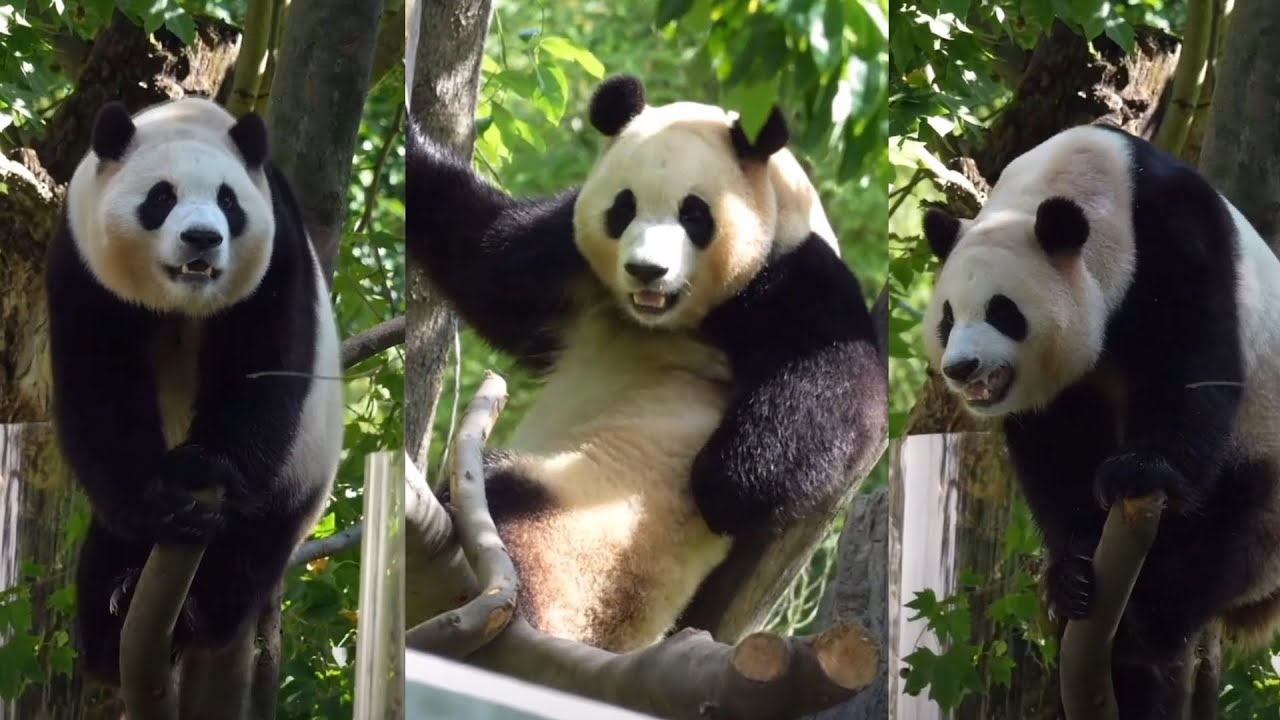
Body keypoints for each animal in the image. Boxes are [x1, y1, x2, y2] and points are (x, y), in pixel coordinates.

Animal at [45, 97, 344, 685]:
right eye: (161, 197)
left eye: (229, 202)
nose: (203, 238)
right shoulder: (81, 265)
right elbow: (101, 391)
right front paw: (165, 497)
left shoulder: (277, 250)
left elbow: (263, 368)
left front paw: (205, 465)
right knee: (105, 551)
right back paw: (111, 624)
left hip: (300, 475)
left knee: (247, 553)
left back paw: (196, 614)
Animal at [407, 74, 886, 651]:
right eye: (624, 207)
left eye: (694, 214)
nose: (646, 270)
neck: (662, 319)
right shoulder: (566, 259)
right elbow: (480, 254)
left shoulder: (796, 278)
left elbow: (841, 387)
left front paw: (728, 477)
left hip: (584, 533)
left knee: (508, 499)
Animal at [921, 122, 1280, 716]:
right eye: (948, 318)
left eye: (1002, 311)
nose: (960, 367)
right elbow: (1053, 448)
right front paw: (1071, 576)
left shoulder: (1179, 241)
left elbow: (1193, 366)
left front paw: (1135, 470)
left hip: (1265, 449)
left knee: (1236, 536)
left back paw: (1151, 617)